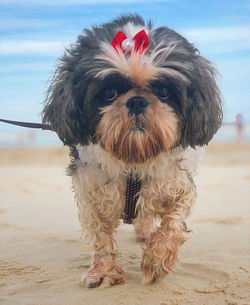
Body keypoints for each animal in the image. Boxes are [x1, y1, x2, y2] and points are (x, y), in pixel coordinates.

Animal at [41, 14, 223, 288]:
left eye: (163, 91)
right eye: (109, 92)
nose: (136, 100)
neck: (134, 159)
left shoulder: (177, 184)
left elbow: (173, 224)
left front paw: (156, 260)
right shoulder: (90, 192)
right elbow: (100, 237)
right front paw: (103, 271)